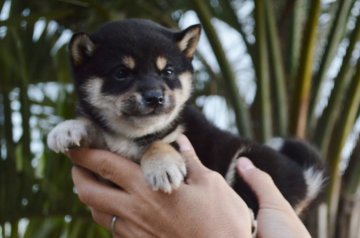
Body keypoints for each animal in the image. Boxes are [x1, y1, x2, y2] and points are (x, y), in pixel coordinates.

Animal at [46, 19, 324, 215]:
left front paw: (162, 166)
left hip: (248, 159)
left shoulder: (195, 140)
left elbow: (161, 143)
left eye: (167, 71)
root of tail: (304, 177)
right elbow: (96, 128)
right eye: (121, 73)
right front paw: (68, 128)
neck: (133, 135)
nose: (155, 97)